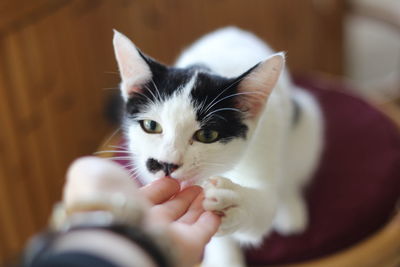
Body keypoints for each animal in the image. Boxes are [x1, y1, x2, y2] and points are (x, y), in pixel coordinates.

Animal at [111, 27, 322, 267]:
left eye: (207, 135)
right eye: (151, 125)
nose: (166, 164)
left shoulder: (265, 138)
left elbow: (266, 206)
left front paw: (235, 202)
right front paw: (225, 258)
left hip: (305, 119)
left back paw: (290, 206)